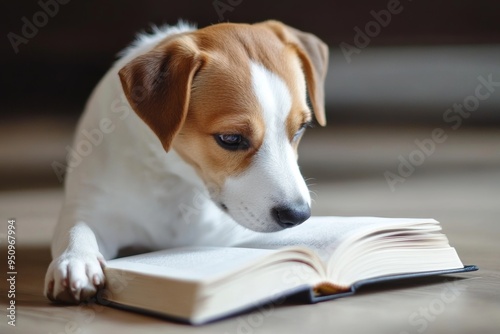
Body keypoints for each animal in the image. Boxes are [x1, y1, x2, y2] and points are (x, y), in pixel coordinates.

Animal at [45, 20, 330, 302]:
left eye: (301, 128)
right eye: (231, 138)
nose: (298, 214)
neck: (174, 181)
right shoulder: (90, 208)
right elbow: (77, 229)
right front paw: (76, 261)